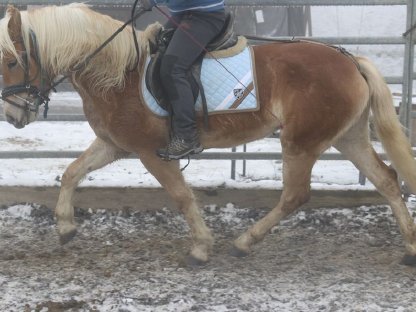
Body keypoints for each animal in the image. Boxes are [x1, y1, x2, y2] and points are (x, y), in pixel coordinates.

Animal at [2, 2, 416, 266]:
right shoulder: (113, 145)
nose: (12, 115)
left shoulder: (151, 152)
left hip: (301, 141)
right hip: (347, 137)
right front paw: (65, 227)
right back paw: (410, 249)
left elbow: (182, 197)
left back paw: (244, 243)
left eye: (11, 61)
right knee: (386, 179)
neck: (118, 73)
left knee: (296, 195)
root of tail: (349, 60)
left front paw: (200, 249)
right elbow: (71, 173)